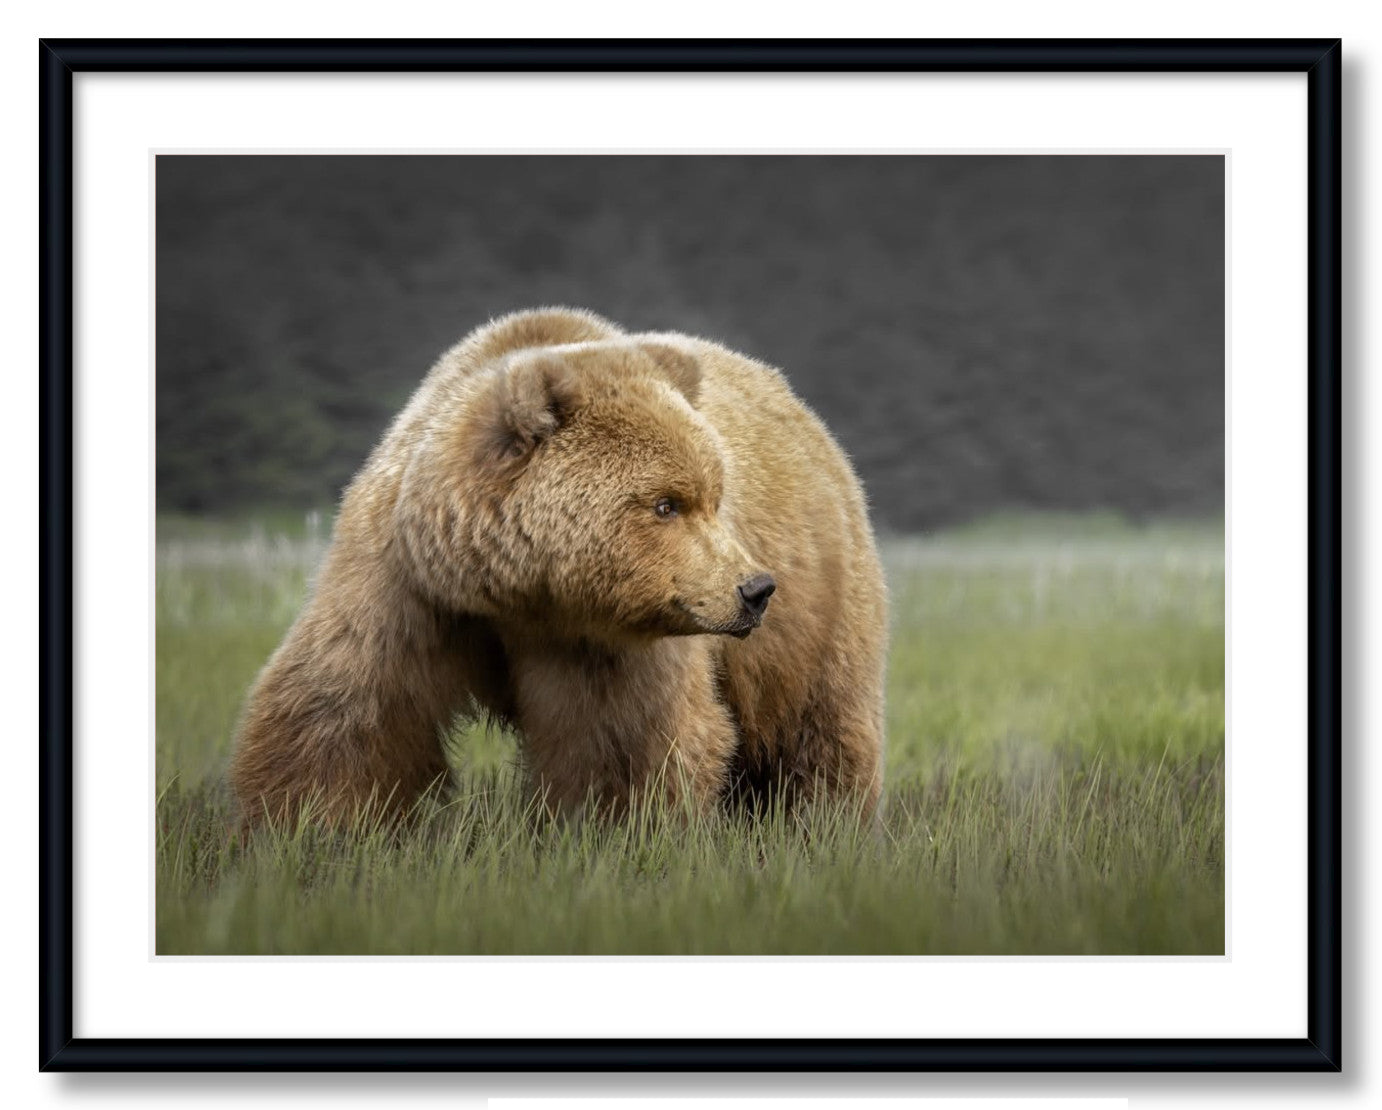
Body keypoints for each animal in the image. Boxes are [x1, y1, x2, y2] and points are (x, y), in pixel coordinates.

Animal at [229, 308, 887, 827]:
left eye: (714, 498)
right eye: (666, 503)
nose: (754, 588)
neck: (513, 591)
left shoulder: (603, 641)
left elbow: (623, 742)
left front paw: (613, 833)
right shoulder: (407, 584)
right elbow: (345, 710)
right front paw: (305, 830)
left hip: (822, 608)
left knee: (820, 728)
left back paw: (824, 824)